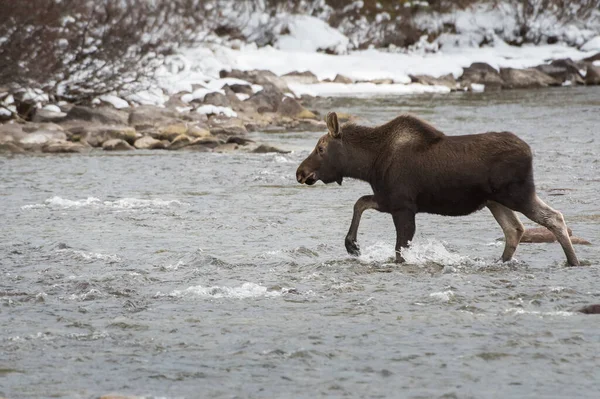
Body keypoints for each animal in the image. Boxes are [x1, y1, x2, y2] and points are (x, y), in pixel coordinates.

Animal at [298, 111, 580, 268]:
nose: (300, 172)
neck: (368, 164)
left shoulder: (402, 205)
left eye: (320, 148)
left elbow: (400, 248)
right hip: (495, 201)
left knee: (553, 217)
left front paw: (353, 245)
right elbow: (360, 202)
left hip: (517, 194)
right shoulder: (389, 200)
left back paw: (573, 261)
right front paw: (352, 245)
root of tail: (529, 151)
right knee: (515, 229)